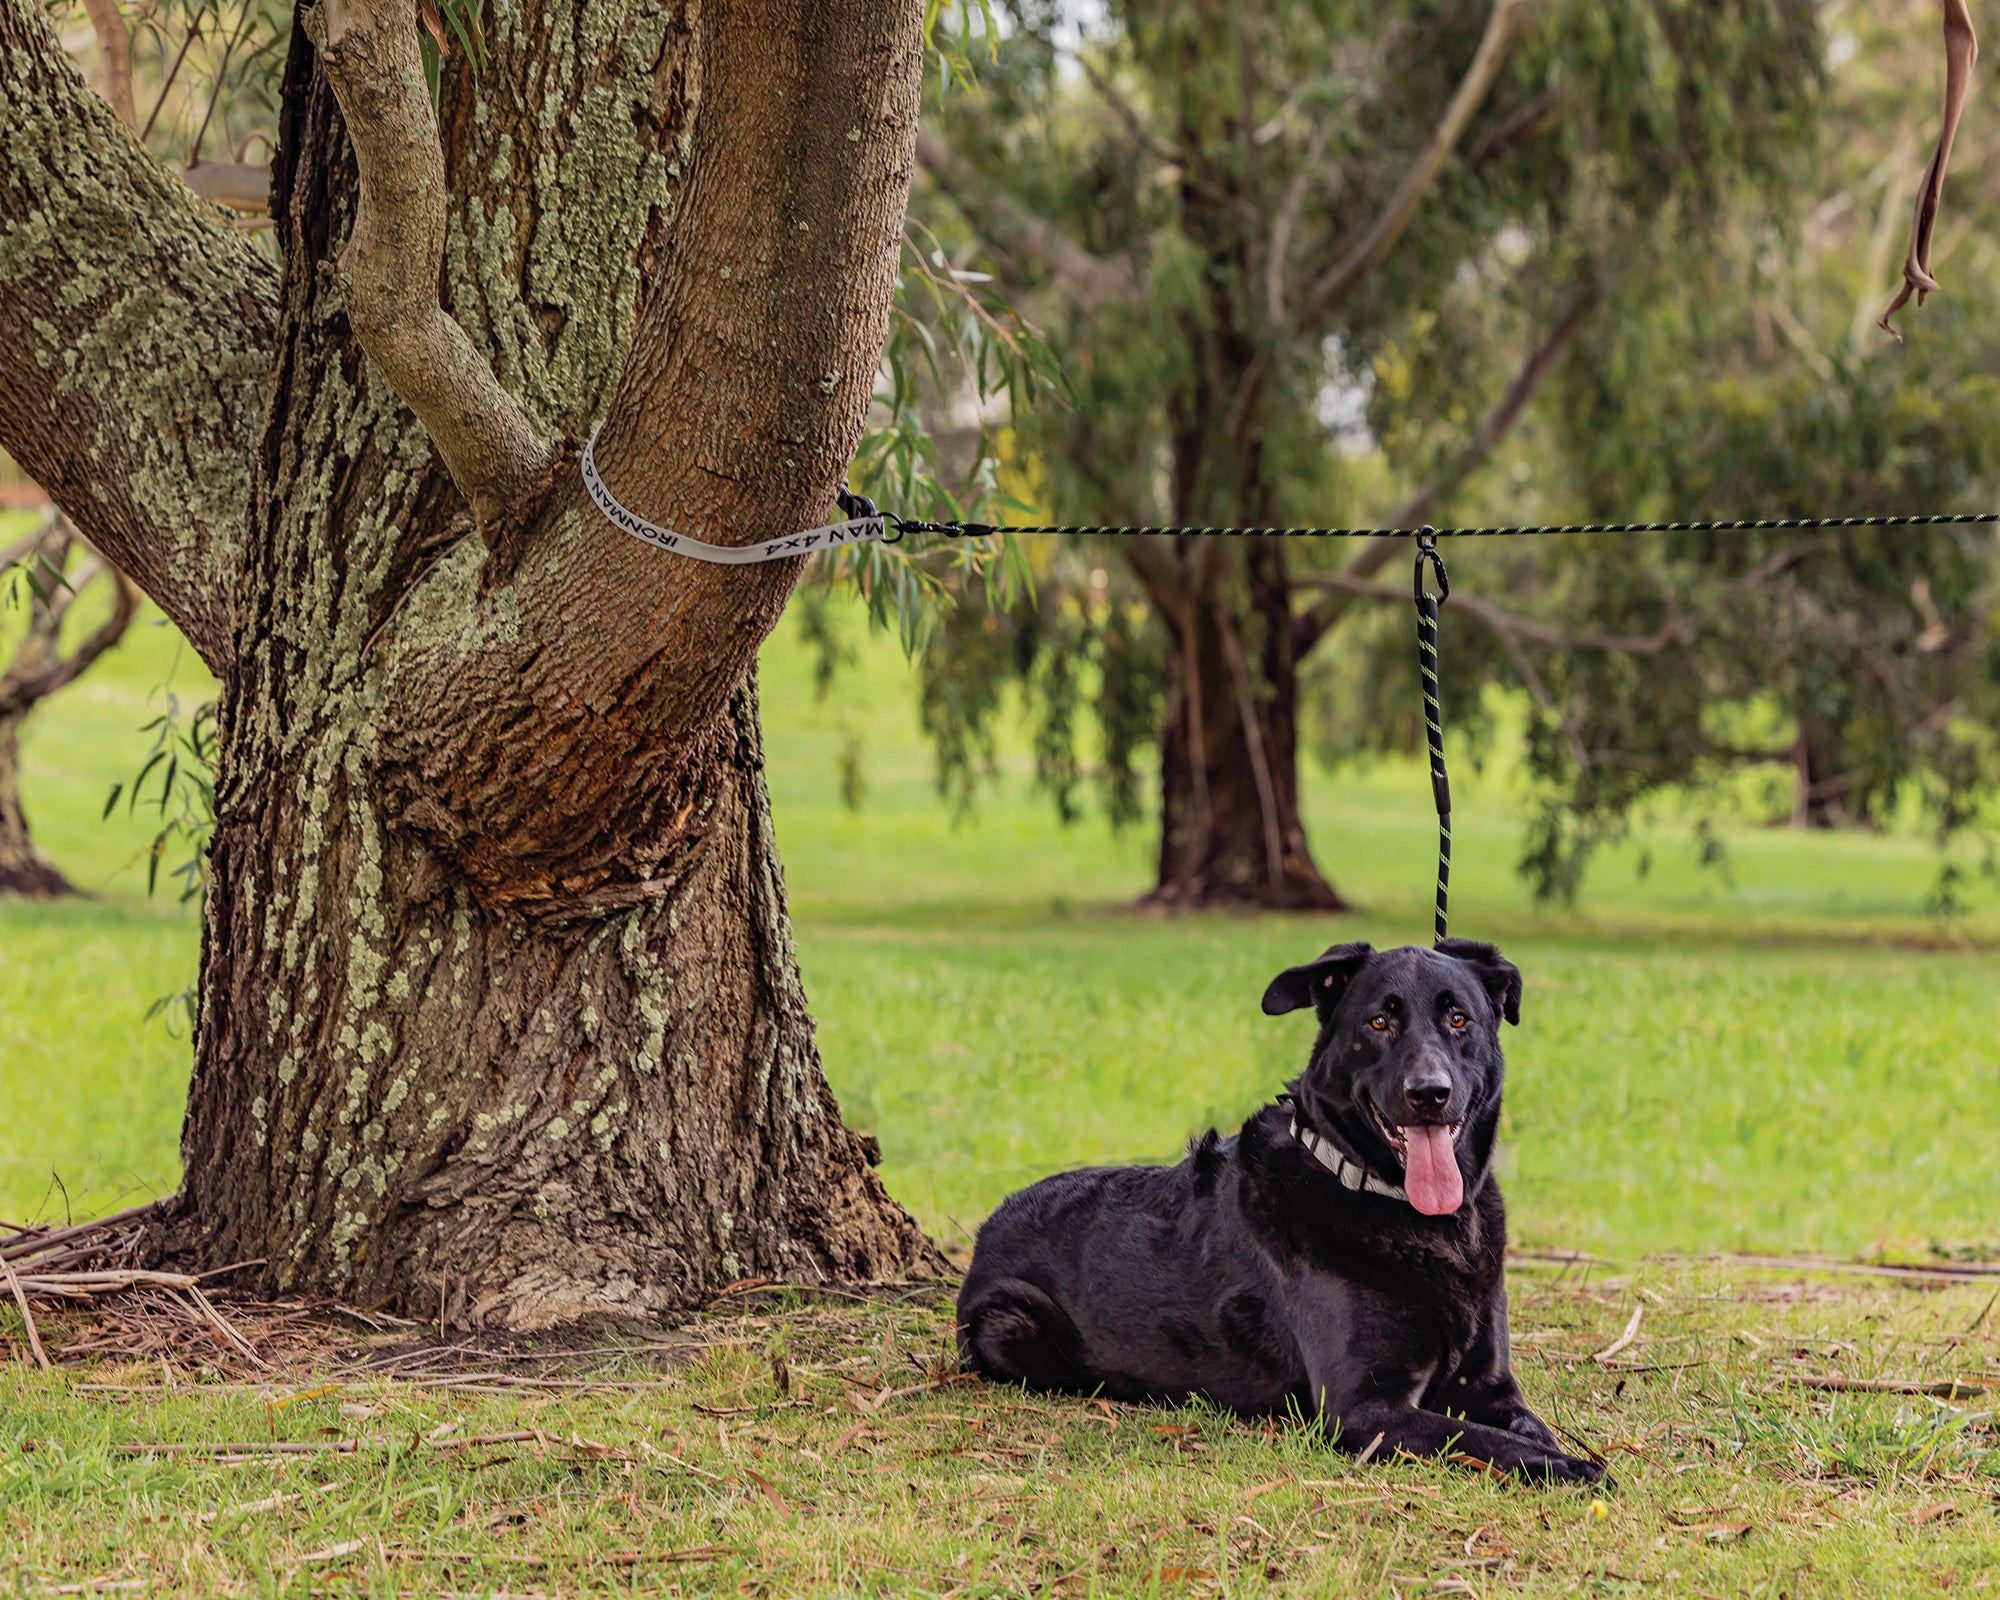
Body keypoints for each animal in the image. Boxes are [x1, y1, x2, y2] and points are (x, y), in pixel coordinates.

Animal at [960, 936, 1600, 1488]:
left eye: (1459, 1019)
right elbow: (1482, 1438)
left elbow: (1529, 1427)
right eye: (1379, 1022)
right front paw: (1572, 1467)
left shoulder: (1491, 1386)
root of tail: (990, 1222)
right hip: (1010, 1326)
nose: (1429, 1093)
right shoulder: (1362, 1407)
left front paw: (1563, 1453)